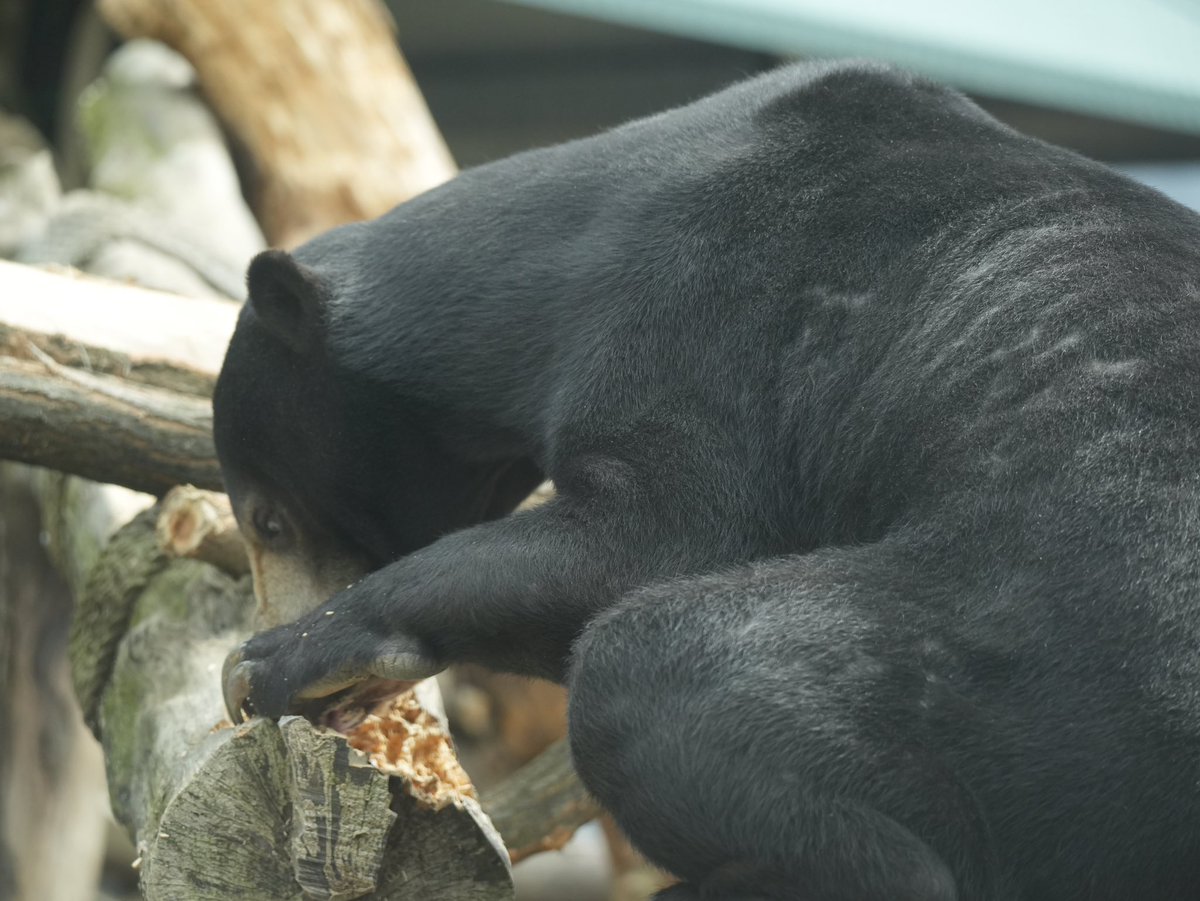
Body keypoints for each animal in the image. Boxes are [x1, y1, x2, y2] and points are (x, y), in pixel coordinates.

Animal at [211, 59, 1200, 897]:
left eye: (267, 518)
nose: (273, 600)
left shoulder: (713, 309)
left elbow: (663, 531)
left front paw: (278, 660)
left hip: (1023, 645)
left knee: (654, 667)